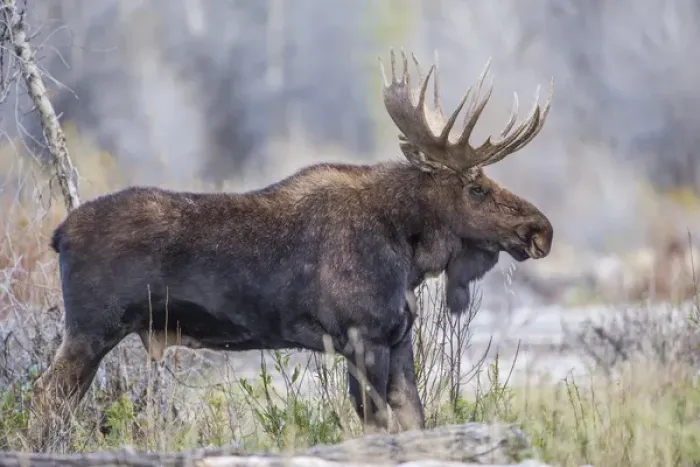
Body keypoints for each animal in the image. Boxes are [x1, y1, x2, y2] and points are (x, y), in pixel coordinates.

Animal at [28, 48, 553, 448]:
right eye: (476, 188)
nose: (540, 229)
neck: (408, 250)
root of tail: (59, 234)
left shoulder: (397, 337)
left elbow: (414, 421)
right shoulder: (362, 337)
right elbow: (377, 426)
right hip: (91, 330)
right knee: (45, 397)